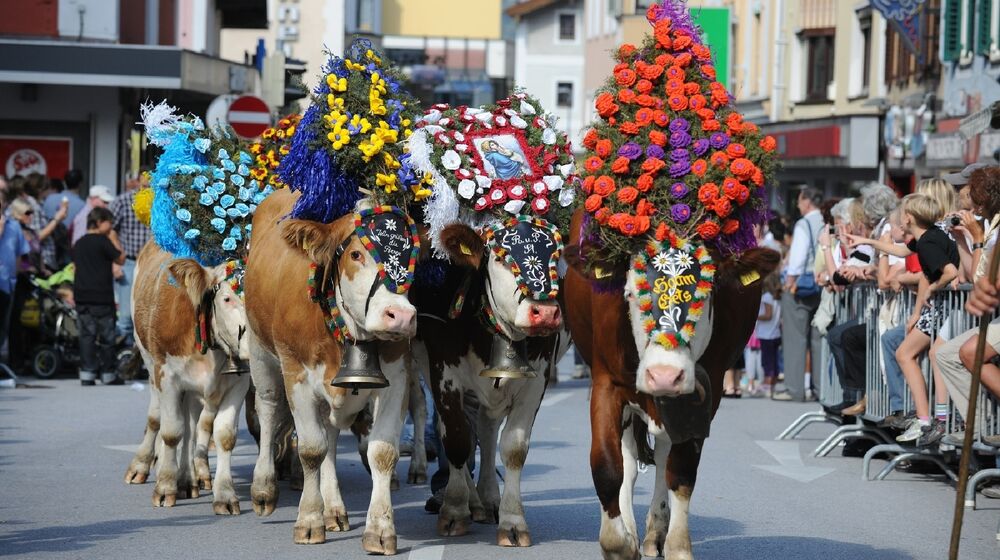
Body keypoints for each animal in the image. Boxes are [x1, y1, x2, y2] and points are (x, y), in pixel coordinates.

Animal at [122, 242, 252, 516]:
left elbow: (224, 436)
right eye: (227, 298)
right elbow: (172, 432)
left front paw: (224, 495)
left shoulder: (239, 383)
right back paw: (143, 465)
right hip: (150, 365)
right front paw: (165, 488)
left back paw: (189, 478)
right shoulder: (168, 377)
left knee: (193, 427)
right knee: (157, 418)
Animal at [246, 187, 418, 552]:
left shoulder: (398, 376)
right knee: (268, 411)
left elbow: (382, 452)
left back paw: (334, 508)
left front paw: (380, 528)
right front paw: (309, 520)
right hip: (259, 350)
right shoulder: (296, 373)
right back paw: (264, 489)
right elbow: (311, 448)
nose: (400, 315)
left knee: (331, 433)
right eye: (355, 254)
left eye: (414, 255)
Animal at [410, 220, 572, 548]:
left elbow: (513, 448)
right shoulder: (443, 371)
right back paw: (469, 500)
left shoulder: (536, 379)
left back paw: (487, 499)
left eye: (556, 253)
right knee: (459, 427)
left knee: (486, 429)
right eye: (499, 258)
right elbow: (457, 439)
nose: (545, 313)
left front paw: (513, 523)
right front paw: (454, 511)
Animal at [564, 211, 780, 560]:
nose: (664, 375)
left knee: (664, 454)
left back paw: (655, 532)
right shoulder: (606, 382)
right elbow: (608, 465)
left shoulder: (706, 393)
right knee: (628, 462)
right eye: (629, 293)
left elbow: (681, 470)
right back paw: (632, 528)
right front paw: (619, 542)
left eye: (707, 295)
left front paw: (677, 546)